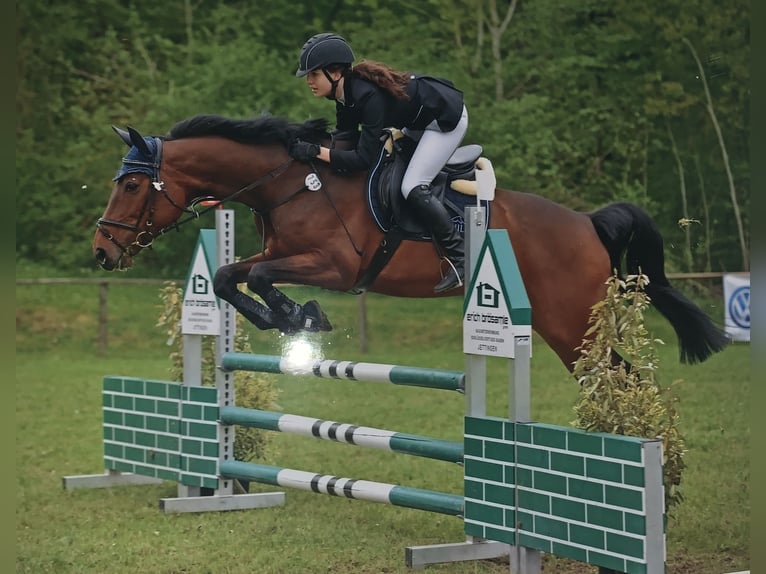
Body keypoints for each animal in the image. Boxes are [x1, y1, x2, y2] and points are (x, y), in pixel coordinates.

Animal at [93, 115, 728, 374]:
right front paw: (289, 318)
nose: (102, 252)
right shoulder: (280, 254)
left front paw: (305, 315)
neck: (289, 182)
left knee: (617, 377)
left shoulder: (335, 265)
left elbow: (262, 278)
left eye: (131, 185)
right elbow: (231, 277)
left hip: (570, 324)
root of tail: (587, 223)